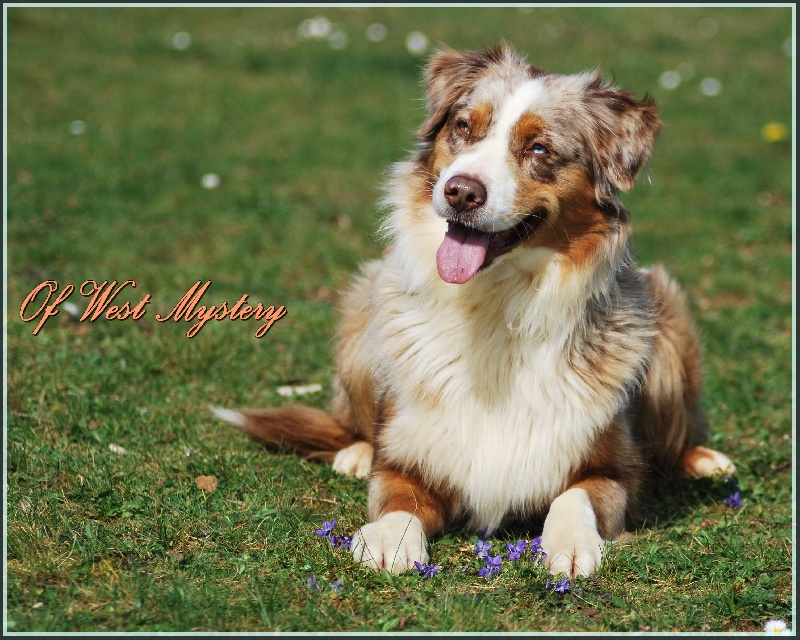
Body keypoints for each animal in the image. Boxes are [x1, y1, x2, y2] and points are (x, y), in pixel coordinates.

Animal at [211, 42, 732, 576]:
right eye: (463, 126)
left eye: (539, 149)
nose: (461, 191)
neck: (495, 304)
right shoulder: (406, 458)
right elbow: (396, 499)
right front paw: (387, 539)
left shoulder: (614, 471)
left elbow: (575, 497)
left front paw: (570, 544)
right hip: (361, 312)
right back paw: (354, 452)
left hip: (668, 320)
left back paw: (705, 460)